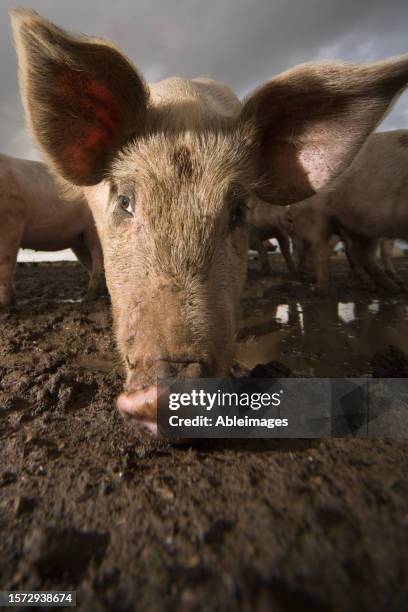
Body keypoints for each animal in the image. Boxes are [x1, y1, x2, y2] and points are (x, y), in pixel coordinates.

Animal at [0, 153, 103, 306]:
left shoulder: (12, 219)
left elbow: (6, 260)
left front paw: (6, 305)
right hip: (79, 241)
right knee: (90, 262)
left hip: (94, 231)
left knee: (98, 259)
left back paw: (89, 298)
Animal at [280, 131, 408, 294]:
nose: (301, 274)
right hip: (316, 217)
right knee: (320, 250)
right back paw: (326, 290)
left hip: (362, 223)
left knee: (361, 253)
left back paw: (393, 288)